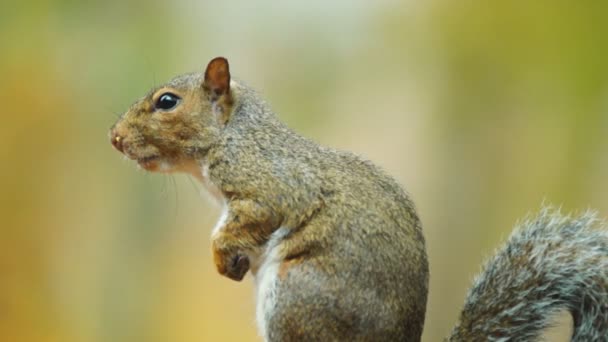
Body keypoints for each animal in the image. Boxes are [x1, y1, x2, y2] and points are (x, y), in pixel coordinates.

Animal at [109, 56, 608, 340]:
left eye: (167, 102)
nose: (114, 137)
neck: (234, 135)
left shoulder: (269, 184)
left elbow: (253, 217)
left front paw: (220, 255)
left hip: (296, 297)